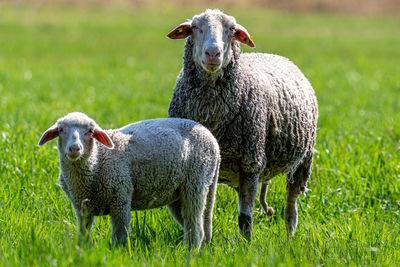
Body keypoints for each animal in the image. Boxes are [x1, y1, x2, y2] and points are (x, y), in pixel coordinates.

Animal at [37, 112, 220, 250]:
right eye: (61, 129)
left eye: (90, 131)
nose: (74, 148)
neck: (98, 160)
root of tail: (212, 139)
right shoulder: (82, 208)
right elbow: (84, 234)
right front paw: (82, 251)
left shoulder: (121, 199)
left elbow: (120, 236)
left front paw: (119, 254)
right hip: (187, 191)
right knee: (201, 225)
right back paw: (202, 251)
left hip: (195, 184)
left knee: (195, 228)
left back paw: (189, 253)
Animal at [167, 9, 318, 241]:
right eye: (195, 27)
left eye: (231, 30)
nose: (213, 53)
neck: (212, 114)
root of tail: (273, 55)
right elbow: (203, 214)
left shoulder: (250, 164)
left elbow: (245, 219)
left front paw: (246, 246)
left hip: (302, 161)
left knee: (291, 207)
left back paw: (289, 237)